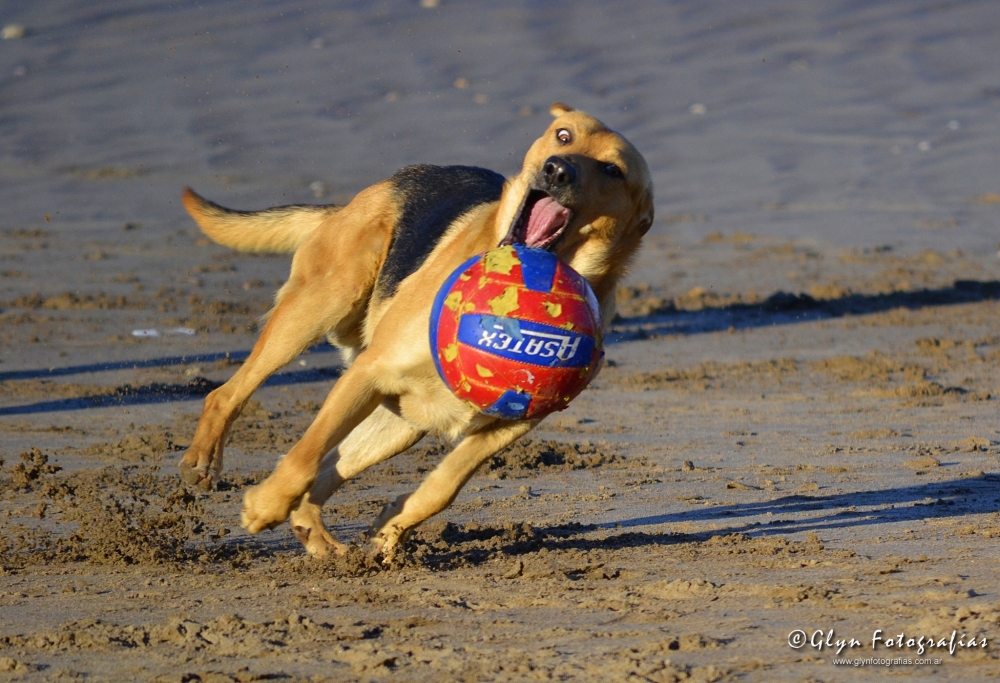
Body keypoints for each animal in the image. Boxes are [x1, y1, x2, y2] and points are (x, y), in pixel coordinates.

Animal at [177, 103, 652, 560]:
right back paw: (204, 462)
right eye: (564, 135)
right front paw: (264, 505)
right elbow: (304, 455)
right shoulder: (370, 370)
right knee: (228, 395)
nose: (557, 170)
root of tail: (385, 185)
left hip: (400, 421)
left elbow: (442, 487)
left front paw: (388, 533)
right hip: (324, 306)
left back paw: (321, 538)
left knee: (331, 469)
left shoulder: (511, 423)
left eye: (613, 170)